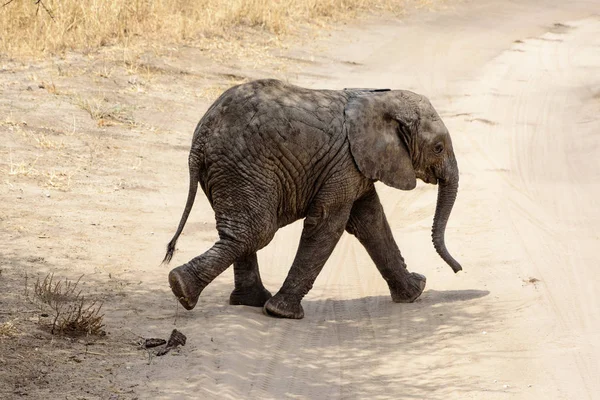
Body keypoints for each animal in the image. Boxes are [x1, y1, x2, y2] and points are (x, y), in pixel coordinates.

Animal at [162, 79, 462, 320]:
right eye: (438, 148)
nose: (458, 269)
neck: (377, 98)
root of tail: (200, 140)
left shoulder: (355, 166)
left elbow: (371, 223)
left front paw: (415, 292)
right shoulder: (345, 163)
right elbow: (328, 224)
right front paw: (282, 314)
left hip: (231, 173)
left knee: (243, 232)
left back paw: (243, 300)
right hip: (242, 167)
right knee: (256, 232)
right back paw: (181, 287)